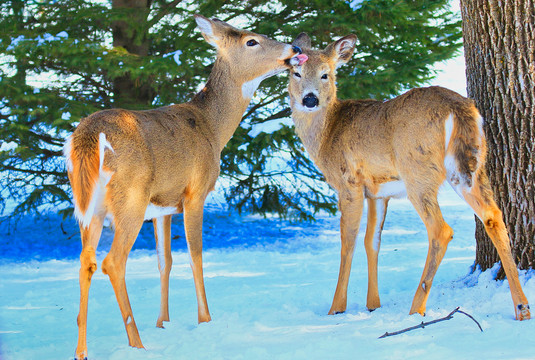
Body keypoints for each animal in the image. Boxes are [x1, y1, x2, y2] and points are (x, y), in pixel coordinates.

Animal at [63, 14, 306, 360]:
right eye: (251, 40)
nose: (295, 49)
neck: (213, 128)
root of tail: (88, 137)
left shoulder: (162, 206)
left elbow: (165, 260)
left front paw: (163, 322)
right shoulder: (195, 192)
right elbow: (196, 254)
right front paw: (205, 320)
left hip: (89, 205)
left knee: (87, 260)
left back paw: (81, 350)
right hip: (130, 198)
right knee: (113, 261)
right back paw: (136, 343)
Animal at [286, 32, 528, 320]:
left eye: (326, 74)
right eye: (296, 72)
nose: (310, 99)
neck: (326, 135)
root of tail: (457, 109)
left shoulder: (349, 183)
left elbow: (349, 241)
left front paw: (336, 308)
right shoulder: (378, 192)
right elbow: (372, 241)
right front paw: (373, 304)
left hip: (418, 171)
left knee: (441, 229)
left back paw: (417, 308)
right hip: (471, 166)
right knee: (493, 216)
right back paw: (522, 307)